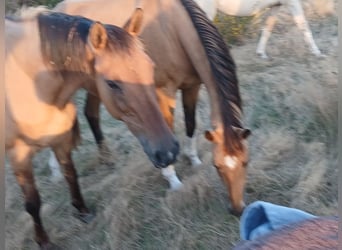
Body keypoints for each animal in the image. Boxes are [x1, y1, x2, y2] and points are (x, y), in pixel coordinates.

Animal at [5, 6, 179, 249]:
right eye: (112, 83)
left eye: (151, 68)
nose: (168, 152)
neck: (31, 85)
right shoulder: (19, 156)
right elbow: (32, 202)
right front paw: (44, 241)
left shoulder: (60, 141)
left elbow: (71, 175)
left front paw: (82, 211)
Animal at [54, 0, 251, 215]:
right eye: (217, 166)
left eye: (245, 162)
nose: (237, 209)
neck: (174, 28)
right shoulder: (163, 92)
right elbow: (167, 133)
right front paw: (172, 179)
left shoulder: (192, 86)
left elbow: (191, 124)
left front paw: (194, 160)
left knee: (90, 114)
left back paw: (106, 158)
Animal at [195, 0, 324, 58]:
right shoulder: (292, 2)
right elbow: (304, 26)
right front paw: (317, 53)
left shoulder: (276, 5)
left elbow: (267, 28)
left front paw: (261, 54)